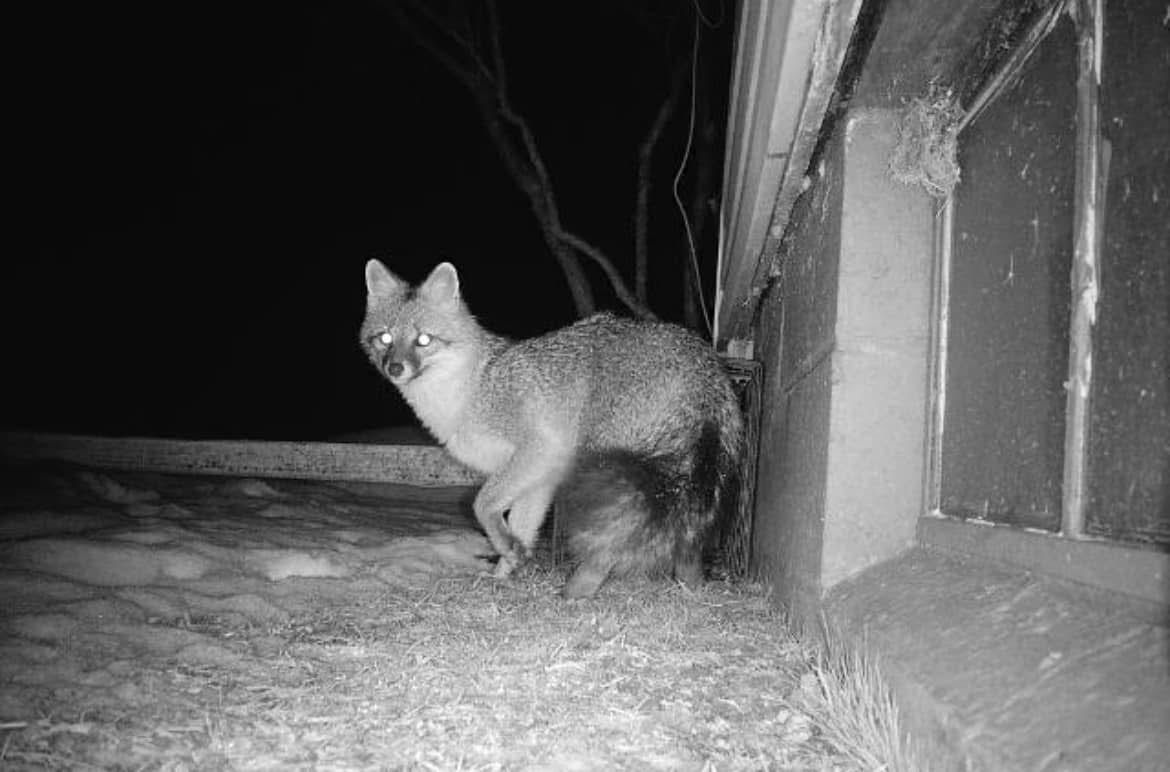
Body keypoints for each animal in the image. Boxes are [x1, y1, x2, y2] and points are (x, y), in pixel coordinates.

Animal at [360, 259, 743, 598]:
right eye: (385, 339)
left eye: (424, 340)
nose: (394, 368)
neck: (469, 391)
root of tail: (703, 358)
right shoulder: (541, 479)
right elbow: (521, 526)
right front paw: (505, 574)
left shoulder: (540, 451)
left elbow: (482, 504)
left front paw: (507, 553)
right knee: (688, 543)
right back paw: (692, 594)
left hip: (607, 467)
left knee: (613, 543)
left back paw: (574, 594)